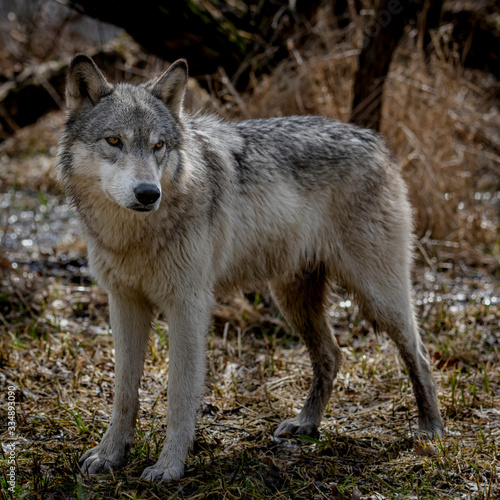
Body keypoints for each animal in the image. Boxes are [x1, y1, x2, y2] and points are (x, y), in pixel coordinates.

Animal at [56, 53, 444, 480]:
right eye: (114, 141)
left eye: (158, 146)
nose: (148, 194)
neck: (135, 234)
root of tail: (375, 141)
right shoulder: (124, 303)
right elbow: (124, 391)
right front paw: (110, 455)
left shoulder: (189, 306)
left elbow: (180, 394)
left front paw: (170, 466)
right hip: (294, 301)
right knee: (332, 355)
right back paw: (307, 425)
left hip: (377, 296)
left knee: (419, 354)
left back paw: (430, 429)